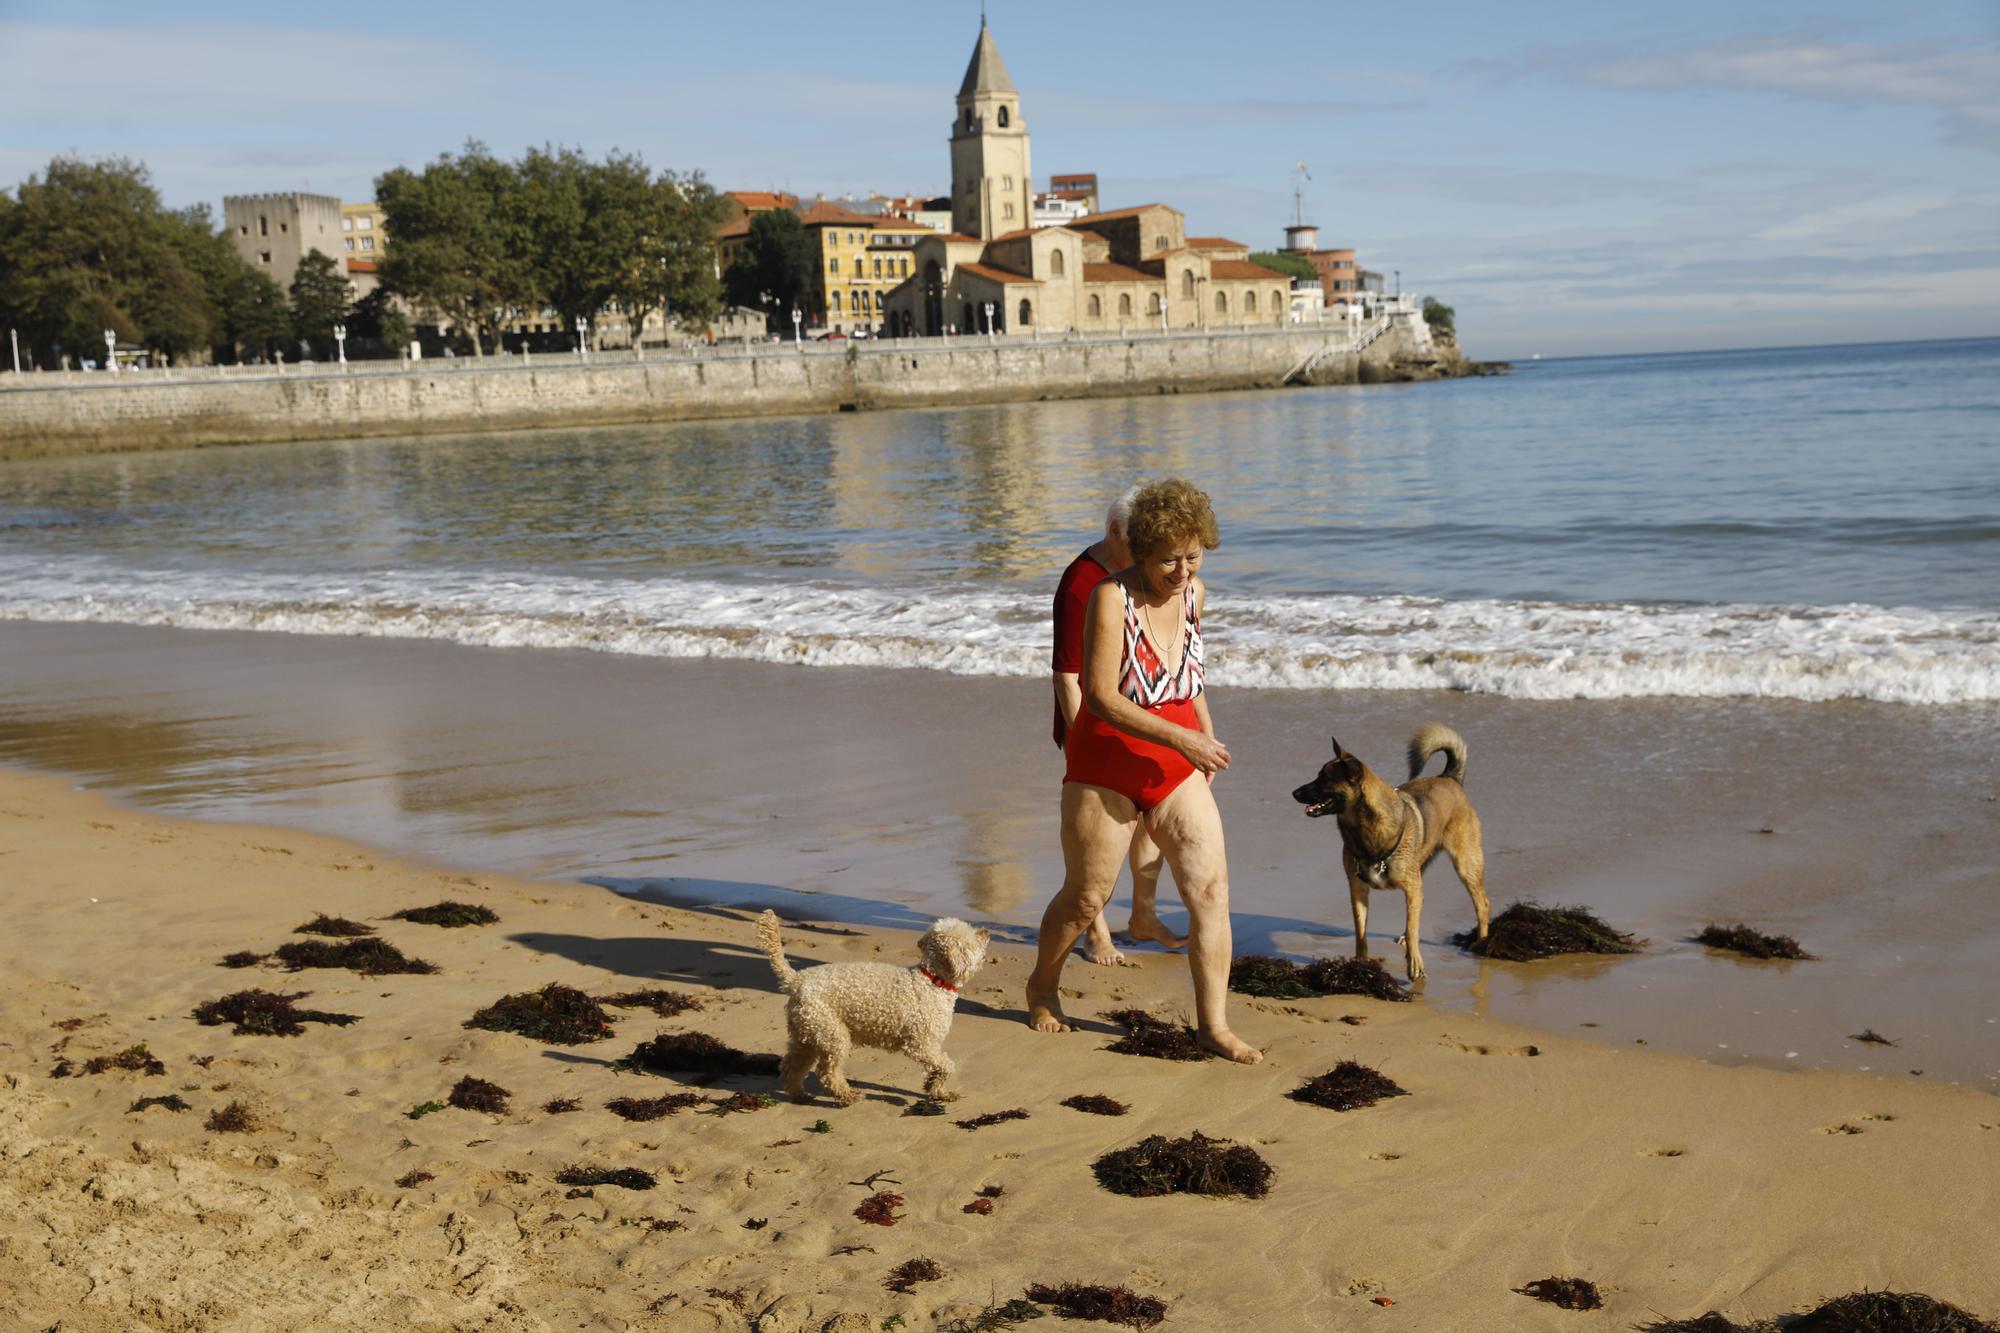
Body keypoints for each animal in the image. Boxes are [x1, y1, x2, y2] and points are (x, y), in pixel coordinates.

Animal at [756, 904, 992, 1096]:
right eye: (972, 937)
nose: (987, 931)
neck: (932, 981)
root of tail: (796, 979)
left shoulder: (928, 1047)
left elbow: (939, 1069)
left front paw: (937, 1090)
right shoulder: (920, 1045)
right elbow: (947, 1065)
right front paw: (937, 1086)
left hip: (807, 1034)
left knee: (790, 1066)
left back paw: (799, 1094)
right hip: (832, 1034)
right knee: (826, 1071)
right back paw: (847, 1095)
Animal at [1288, 720, 1496, 980]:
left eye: (1323, 779)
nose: (1294, 793)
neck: (1366, 829)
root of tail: (1449, 778)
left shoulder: (1411, 887)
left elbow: (1412, 925)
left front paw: (1414, 962)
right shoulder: (1358, 890)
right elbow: (1361, 933)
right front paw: (1360, 964)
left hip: (1465, 864)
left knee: (1481, 904)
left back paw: (1481, 944)